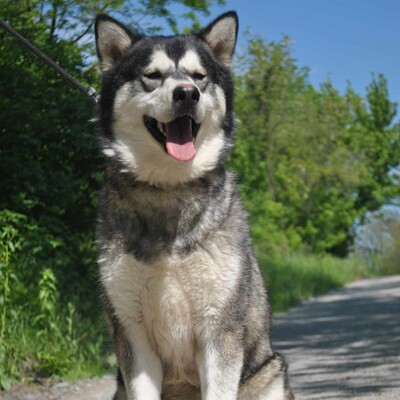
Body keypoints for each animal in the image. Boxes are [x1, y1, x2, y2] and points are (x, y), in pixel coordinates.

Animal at [94, 10, 294, 398]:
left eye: (199, 76)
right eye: (152, 76)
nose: (187, 93)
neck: (170, 189)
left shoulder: (220, 330)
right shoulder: (132, 334)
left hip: (271, 370)